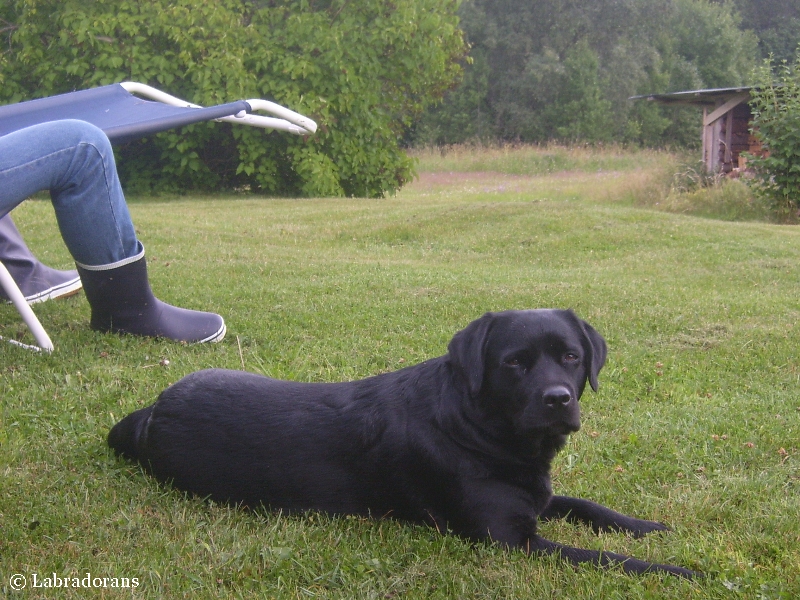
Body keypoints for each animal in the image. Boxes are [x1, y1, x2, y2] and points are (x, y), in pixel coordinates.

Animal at [109, 309, 697, 578]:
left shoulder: (537, 498)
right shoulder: (512, 541)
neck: (479, 430)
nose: (558, 399)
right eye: (514, 363)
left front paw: (649, 527)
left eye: (571, 357)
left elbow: (592, 509)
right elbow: (608, 558)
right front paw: (680, 570)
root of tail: (153, 409)